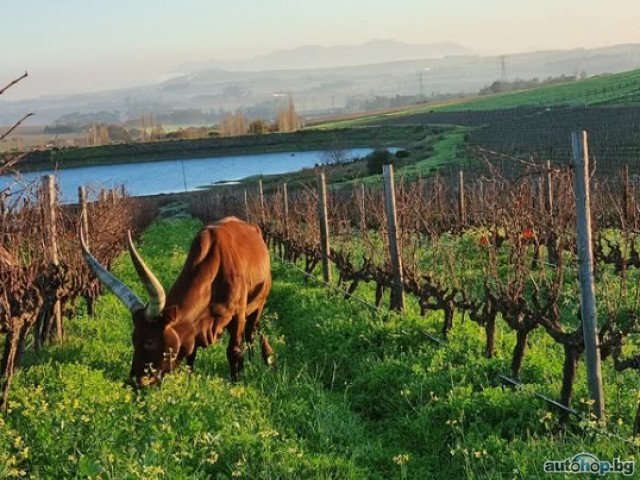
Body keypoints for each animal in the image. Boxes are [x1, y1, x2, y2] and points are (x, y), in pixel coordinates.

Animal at [80, 218, 272, 386]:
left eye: (149, 341)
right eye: (133, 339)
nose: (135, 382)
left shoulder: (238, 315)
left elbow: (233, 351)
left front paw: (236, 382)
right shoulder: (193, 329)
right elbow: (191, 357)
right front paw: (189, 382)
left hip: (258, 305)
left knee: (249, 334)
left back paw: (255, 361)